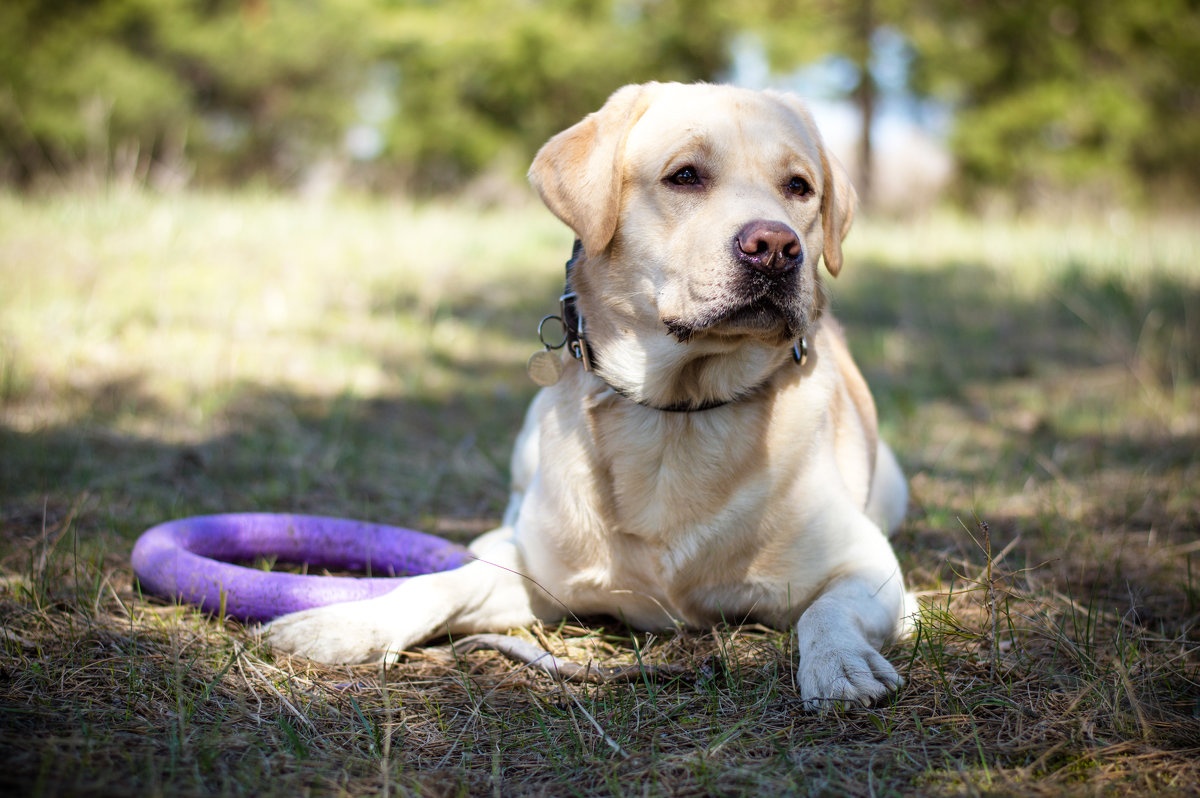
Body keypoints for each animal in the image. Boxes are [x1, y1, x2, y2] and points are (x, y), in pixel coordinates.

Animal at [267, 82, 907, 710]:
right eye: (685, 176)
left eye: (799, 187)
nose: (775, 246)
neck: (676, 411)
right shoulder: (532, 571)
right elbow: (443, 582)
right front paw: (344, 625)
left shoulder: (870, 568)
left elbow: (827, 610)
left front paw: (838, 664)